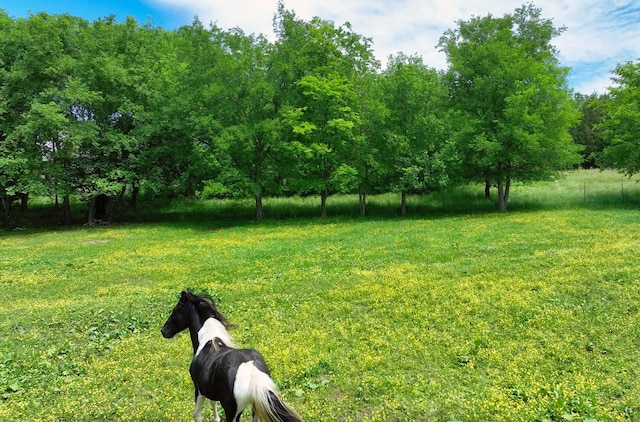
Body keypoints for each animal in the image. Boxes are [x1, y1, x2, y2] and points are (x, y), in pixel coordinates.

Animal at [160, 290, 300, 422]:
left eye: (176, 310)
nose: (164, 331)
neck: (209, 341)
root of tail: (253, 373)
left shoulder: (199, 391)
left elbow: (197, 414)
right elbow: (214, 405)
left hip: (233, 413)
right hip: (255, 409)